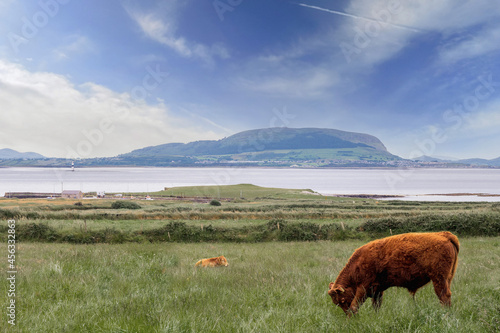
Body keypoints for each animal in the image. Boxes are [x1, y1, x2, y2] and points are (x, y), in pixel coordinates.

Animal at [326, 230, 458, 316]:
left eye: (342, 300)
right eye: (336, 303)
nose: (346, 313)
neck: (357, 263)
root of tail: (444, 235)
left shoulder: (363, 288)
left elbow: (354, 305)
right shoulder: (377, 290)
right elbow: (376, 306)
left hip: (438, 279)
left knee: (443, 296)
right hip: (447, 279)